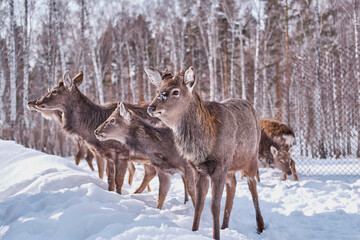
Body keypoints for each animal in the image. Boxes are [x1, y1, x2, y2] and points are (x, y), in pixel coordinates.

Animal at [145, 66, 266, 239]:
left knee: (252, 185)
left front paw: (216, 236)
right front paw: (194, 231)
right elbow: (199, 204)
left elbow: (214, 206)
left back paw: (260, 226)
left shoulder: (220, 166)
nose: (151, 107)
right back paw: (225, 226)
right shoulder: (199, 170)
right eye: (158, 90)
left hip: (251, 158)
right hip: (231, 167)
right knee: (233, 185)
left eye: (175, 91)